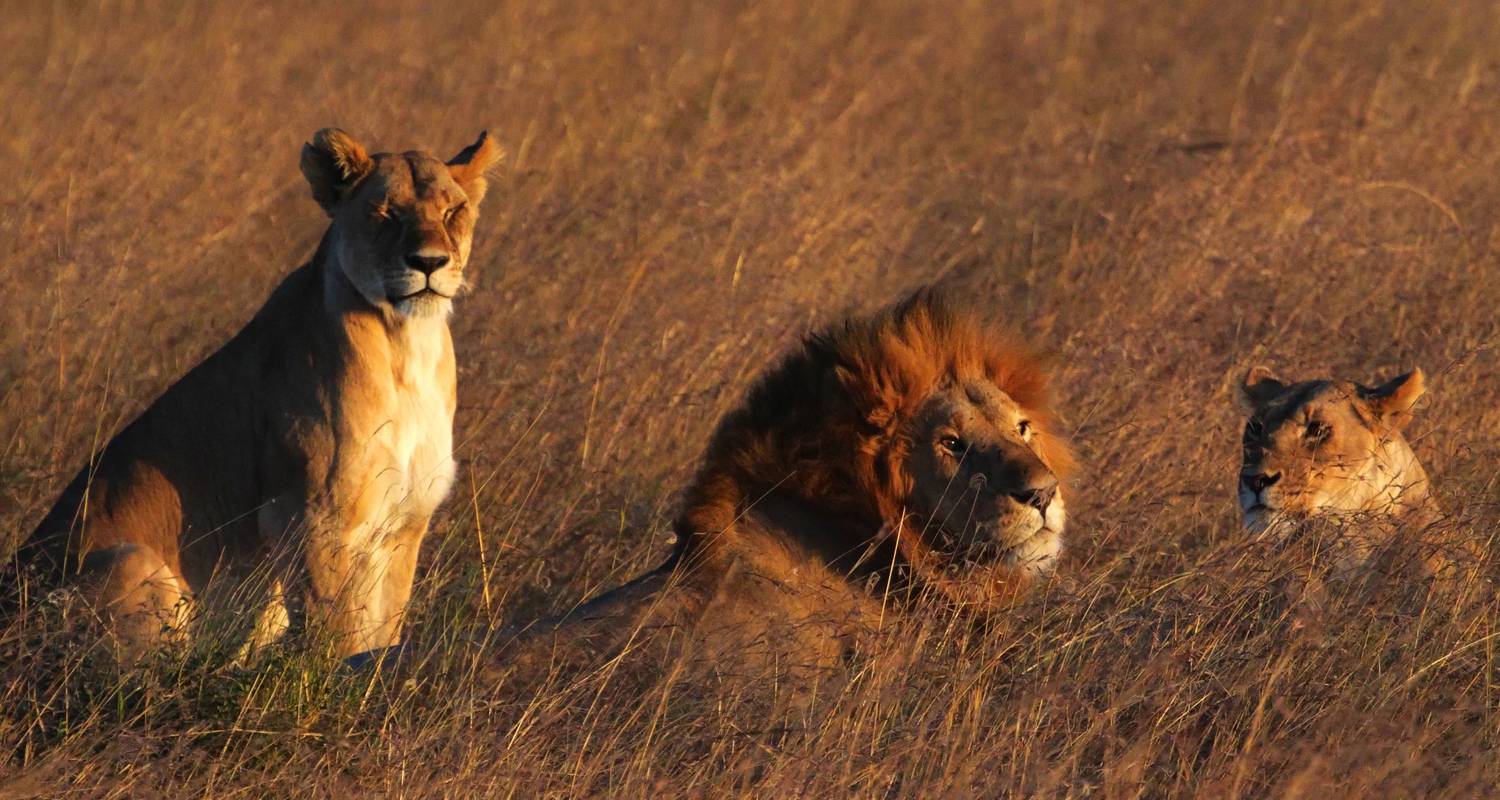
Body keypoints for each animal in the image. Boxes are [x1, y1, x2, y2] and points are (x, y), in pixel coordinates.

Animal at [10, 127, 504, 657]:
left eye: (453, 211)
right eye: (386, 213)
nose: (429, 262)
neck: (407, 346)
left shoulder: (405, 521)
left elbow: (381, 632)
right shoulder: (310, 516)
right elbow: (336, 639)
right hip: (131, 561)